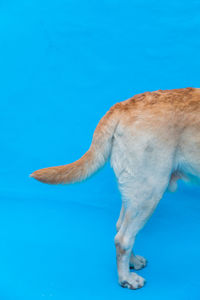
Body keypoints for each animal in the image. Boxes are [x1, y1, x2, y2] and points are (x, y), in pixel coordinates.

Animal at [30, 88, 200, 290]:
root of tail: (124, 105)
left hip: (135, 190)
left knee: (121, 227)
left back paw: (132, 262)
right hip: (150, 191)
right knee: (123, 238)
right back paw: (126, 278)